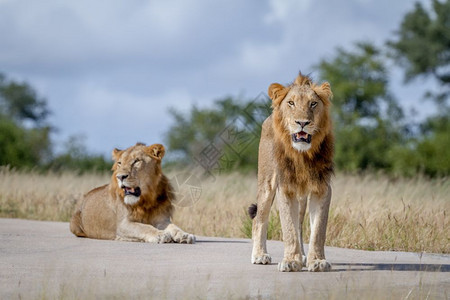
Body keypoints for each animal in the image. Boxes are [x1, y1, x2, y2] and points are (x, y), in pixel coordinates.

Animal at [250, 73, 334, 272]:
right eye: (291, 103)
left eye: (313, 103)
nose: (302, 123)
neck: (302, 155)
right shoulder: (286, 188)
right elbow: (288, 227)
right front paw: (291, 261)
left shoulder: (322, 188)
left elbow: (318, 230)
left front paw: (316, 261)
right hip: (267, 184)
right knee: (259, 219)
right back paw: (259, 255)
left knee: (300, 225)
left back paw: (303, 256)